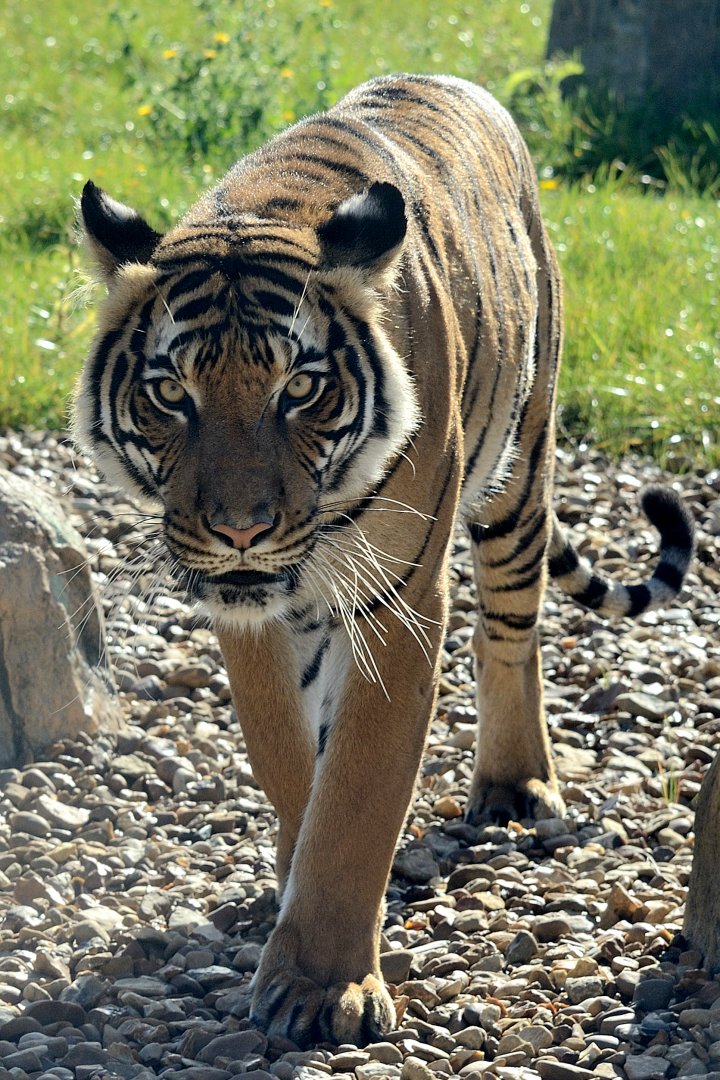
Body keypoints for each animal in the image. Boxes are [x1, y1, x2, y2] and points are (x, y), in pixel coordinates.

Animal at [74, 74, 695, 1048]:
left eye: (300, 388)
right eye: (171, 392)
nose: (242, 529)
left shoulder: (397, 600)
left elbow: (360, 784)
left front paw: (322, 986)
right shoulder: (249, 613)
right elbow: (292, 761)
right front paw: (295, 876)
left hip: (522, 470)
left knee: (510, 633)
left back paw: (516, 786)